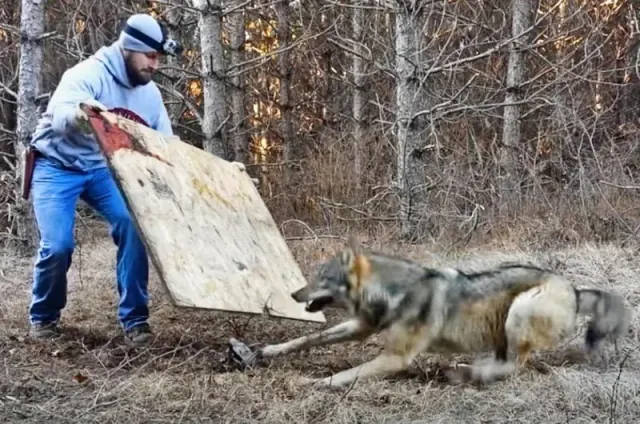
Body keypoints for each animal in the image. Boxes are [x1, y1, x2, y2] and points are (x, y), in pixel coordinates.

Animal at [231, 238, 630, 388]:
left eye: (321, 279)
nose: (293, 294)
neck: (391, 292)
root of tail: (575, 289)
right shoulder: (361, 327)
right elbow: (307, 337)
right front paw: (267, 352)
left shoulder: (395, 357)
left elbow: (343, 375)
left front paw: (311, 383)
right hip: (502, 326)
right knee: (507, 362)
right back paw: (467, 369)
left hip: (518, 312)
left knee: (516, 366)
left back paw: (469, 372)